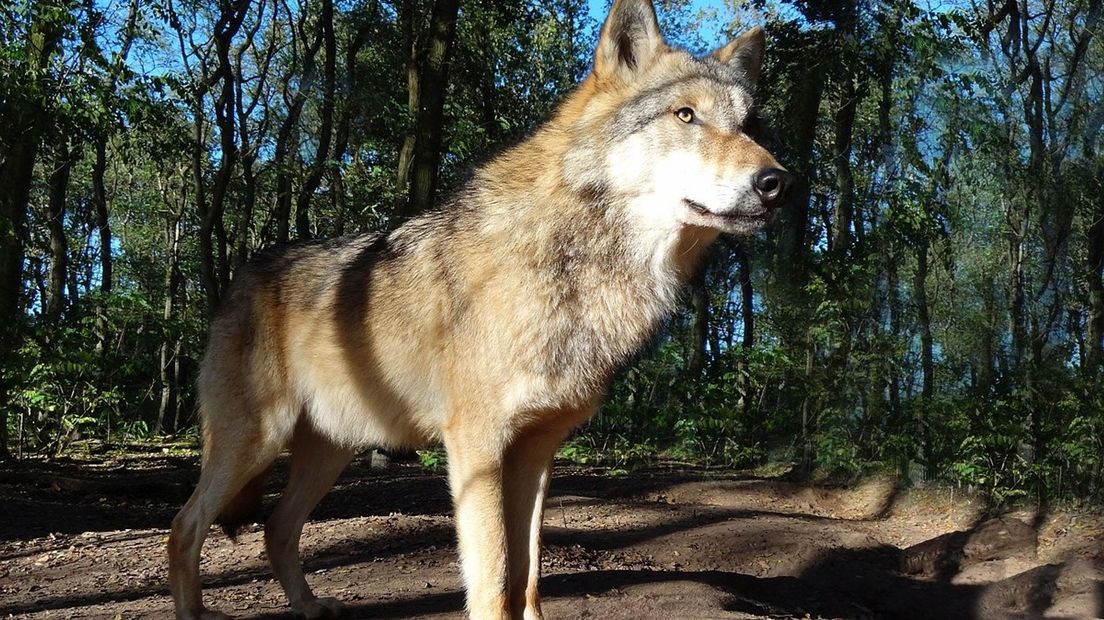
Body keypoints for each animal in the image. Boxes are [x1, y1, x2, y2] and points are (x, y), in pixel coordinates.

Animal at [167, 0, 790, 613]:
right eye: (685, 116)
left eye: (751, 126)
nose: (778, 181)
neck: (572, 265)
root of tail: (239, 281)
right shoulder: (478, 447)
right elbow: (492, 581)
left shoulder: (536, 453)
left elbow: (527, 577)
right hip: (254, 444)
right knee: (184, 527)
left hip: (328, 452)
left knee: (276, 528)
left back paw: (311, 607)